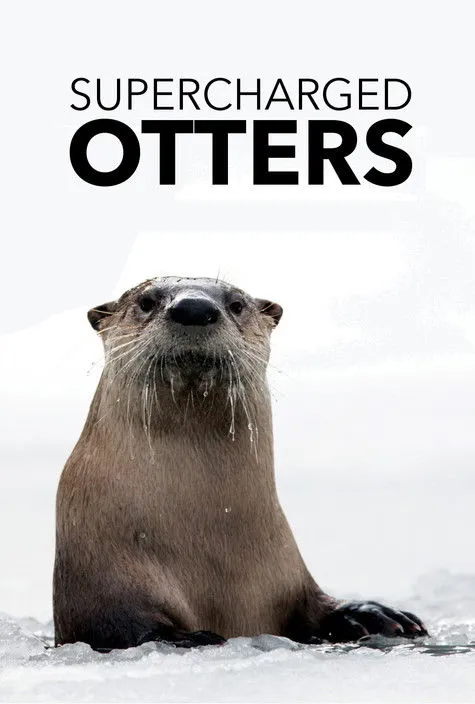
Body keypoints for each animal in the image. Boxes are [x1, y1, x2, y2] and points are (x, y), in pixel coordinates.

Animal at [53, 276, 427, 650]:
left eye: (236, 304)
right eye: (146, 302)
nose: (194, 307)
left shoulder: (290, 579)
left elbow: (318, 605)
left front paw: (374, 614)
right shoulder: (104, 595)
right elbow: (131, 629)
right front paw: (197, 639)